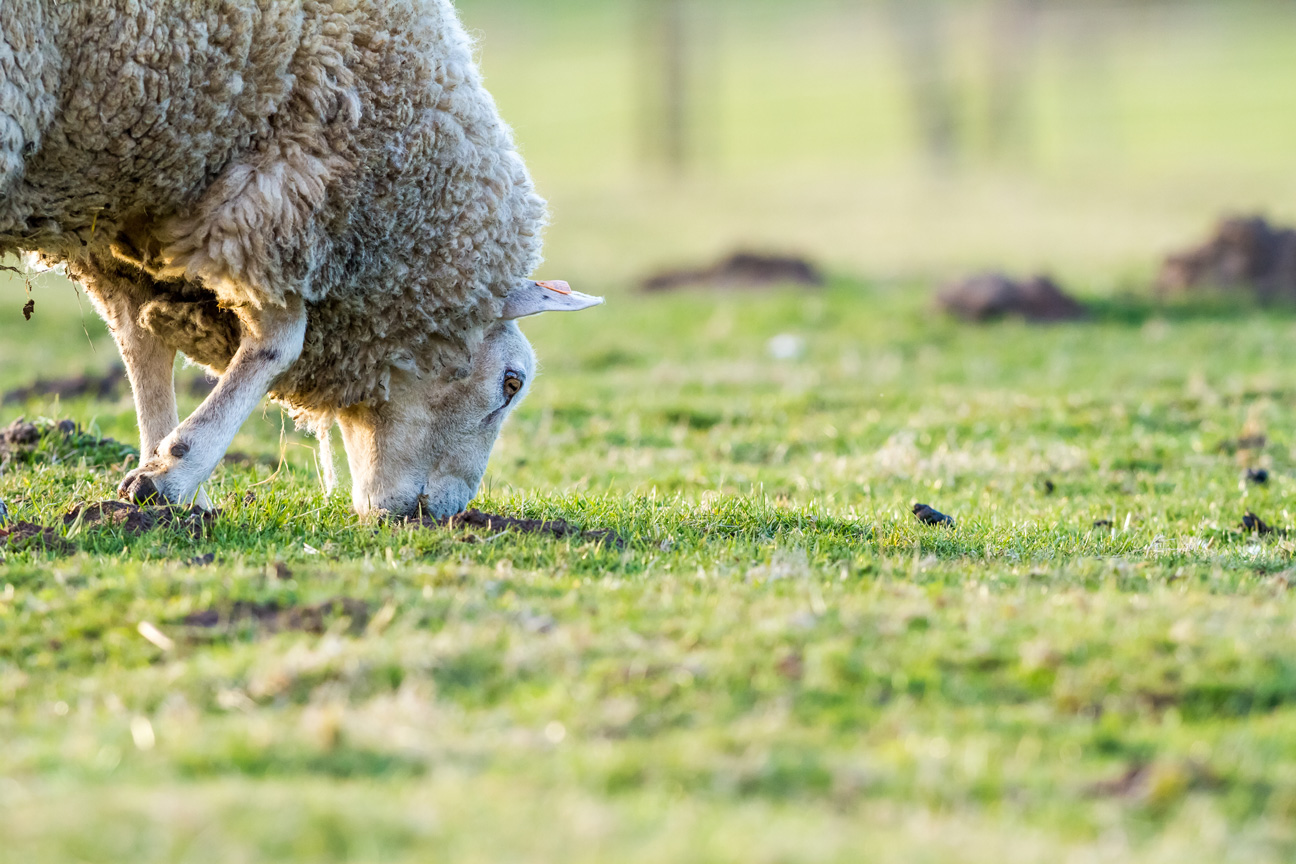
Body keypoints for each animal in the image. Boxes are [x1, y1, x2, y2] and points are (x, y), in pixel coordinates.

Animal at [0, 0, 603, 518]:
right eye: (511, 382)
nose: (449, 513)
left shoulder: (128, 206)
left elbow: (140, 340)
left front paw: (158, 483)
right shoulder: (278, 194)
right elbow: (279, 341)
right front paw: (175, 472)